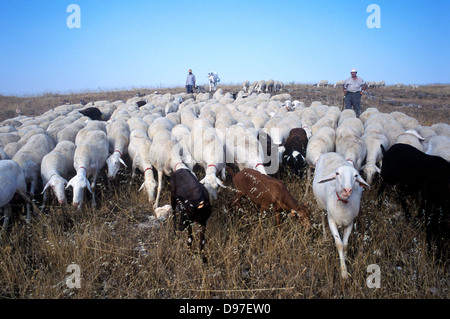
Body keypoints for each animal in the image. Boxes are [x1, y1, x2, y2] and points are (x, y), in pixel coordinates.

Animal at [312, 152, 370, 280]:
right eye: (337, 174)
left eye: (355, 176)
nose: (347, 190)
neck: (343, 204)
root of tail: (330, 153)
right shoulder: (332, 221)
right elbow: (339, 244)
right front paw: (343, 272)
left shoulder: (349, 223)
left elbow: (345, 245)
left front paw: (346, 259)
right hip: (320, 205)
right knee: (322, 218)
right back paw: (324, 236)